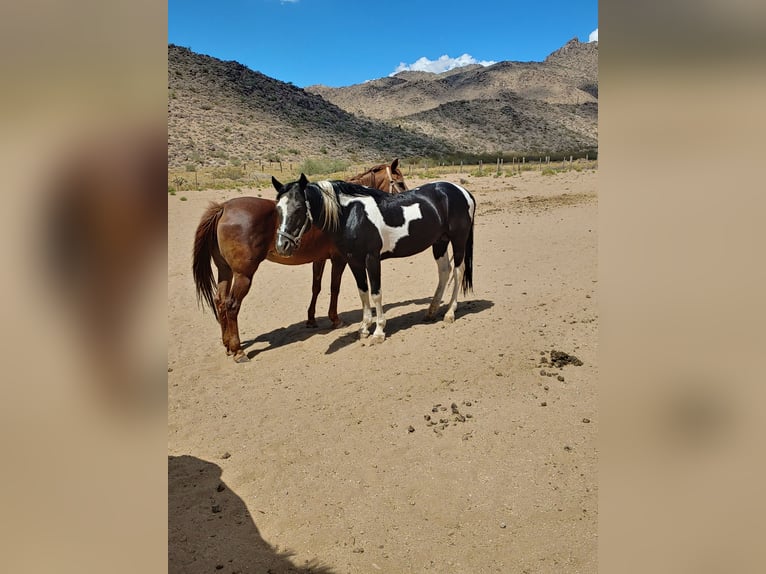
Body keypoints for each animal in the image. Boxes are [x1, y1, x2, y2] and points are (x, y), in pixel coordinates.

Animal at [192, 160, 408, 362]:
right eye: (399, 182)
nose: (404, 199)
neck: (341, 211)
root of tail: (223, 208)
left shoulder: (319, 259)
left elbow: (316, 287)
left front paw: (311, 319)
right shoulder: (339, 259)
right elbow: (334, 288)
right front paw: (335, 319)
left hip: (225, 270)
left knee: (220, 301)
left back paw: (227, 345)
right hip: (243, 275)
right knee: (231, 305)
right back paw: (238, 350)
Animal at [270, 176, 474, 344]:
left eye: (298, 208)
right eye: (278, 209)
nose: (282, 246)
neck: (351, 215)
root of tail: (462, 191)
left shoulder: (372, 259)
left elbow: (376, 293)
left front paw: (379, 331)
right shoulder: (354, 261)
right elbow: (363, 292)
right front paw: (364, 329)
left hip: (458, 240)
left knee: (458, 271)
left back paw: (449, 313)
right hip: (440, 242)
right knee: (444, 271)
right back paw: (431, 312)